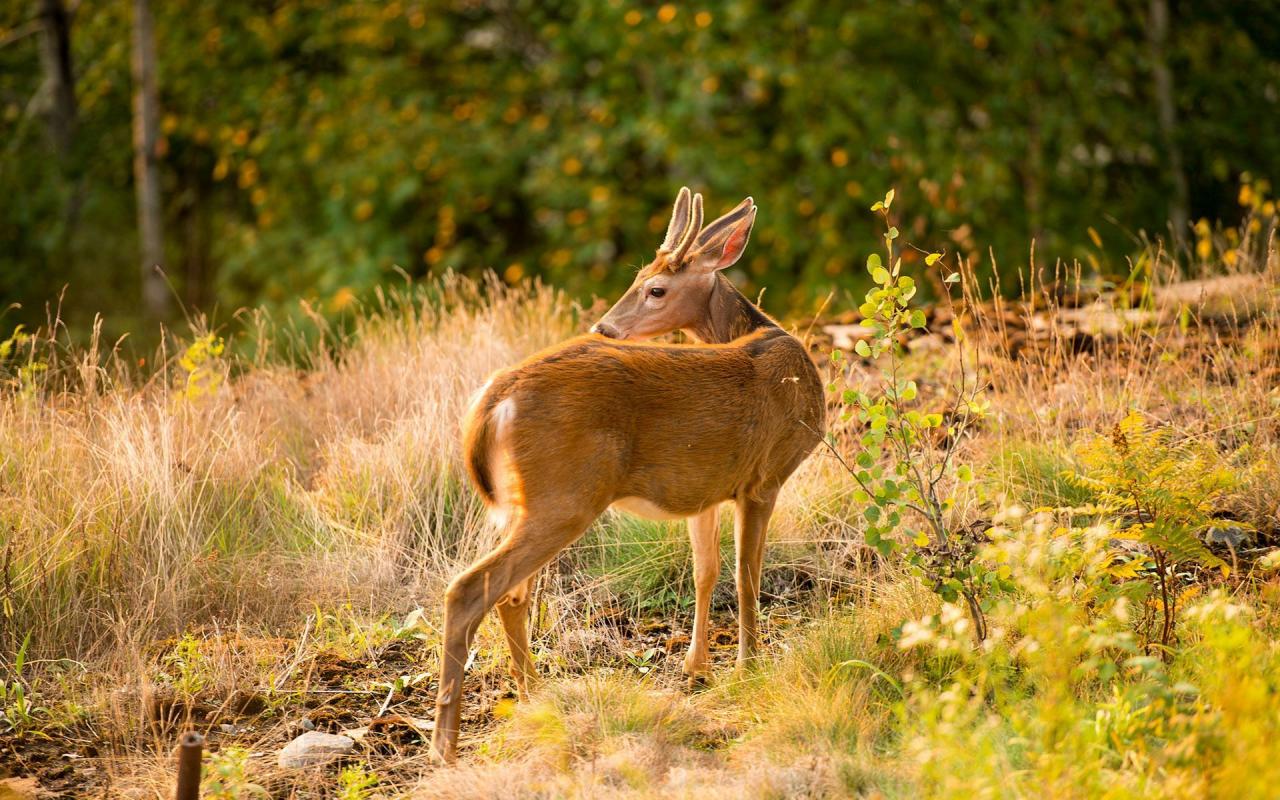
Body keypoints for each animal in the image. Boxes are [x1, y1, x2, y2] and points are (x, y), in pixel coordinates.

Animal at [435, 186, 824, 762]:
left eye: (655, 286)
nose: (605, 327)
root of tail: (493, 399)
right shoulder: (764, 478)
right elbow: (746, 576)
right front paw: (749, 668)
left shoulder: (706, 490)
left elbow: (706, 571)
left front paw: (697, 667)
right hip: (565, 495)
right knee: (470, 589)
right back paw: (446, 743)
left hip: (520, 502)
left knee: (511, 594)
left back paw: (534, 697)